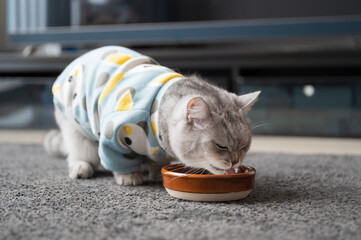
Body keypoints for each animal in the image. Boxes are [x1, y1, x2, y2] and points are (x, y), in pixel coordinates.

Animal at [44, 46, 258, 186]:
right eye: (221, 146)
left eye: (244, 146)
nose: (235, 161)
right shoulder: (112, 136)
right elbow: (119, 161)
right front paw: (129, 177)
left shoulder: (160, 152)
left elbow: (158, 163)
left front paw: (155, 172)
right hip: (77, 132)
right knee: (79, 154)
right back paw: (81, 168)